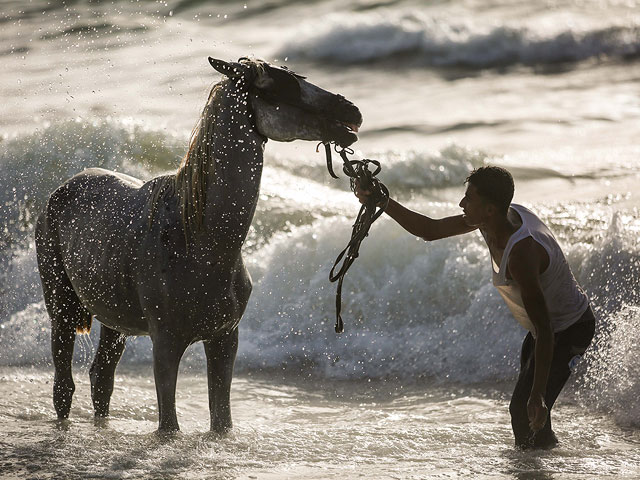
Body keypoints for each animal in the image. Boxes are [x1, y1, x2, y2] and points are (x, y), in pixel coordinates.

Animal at [36, 58, 360, 434]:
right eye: (282, 88)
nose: (352, 112)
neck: (200, 243)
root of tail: (61, 189)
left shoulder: (224, 341)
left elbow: (221, 420)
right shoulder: (165, 346)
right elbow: (169, 426)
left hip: (114, 322)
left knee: (101, 379)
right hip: (61, 310)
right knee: (64, 387)